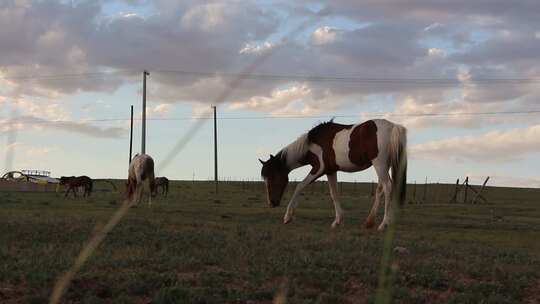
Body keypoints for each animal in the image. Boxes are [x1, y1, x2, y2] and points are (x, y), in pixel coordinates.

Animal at [260, 119, 408, 230]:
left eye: (272, 178)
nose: (271, 203)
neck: (312, 143)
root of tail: (393, 127)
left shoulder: (319, 169)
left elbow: (299, 186)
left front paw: (287, 217)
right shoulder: (331, 171)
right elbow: (334, 193)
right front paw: (337, 221)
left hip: (380, 165)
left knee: (388, 187)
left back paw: (384, 224)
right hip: (383, 166)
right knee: (380, 190)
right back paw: (369, 222)